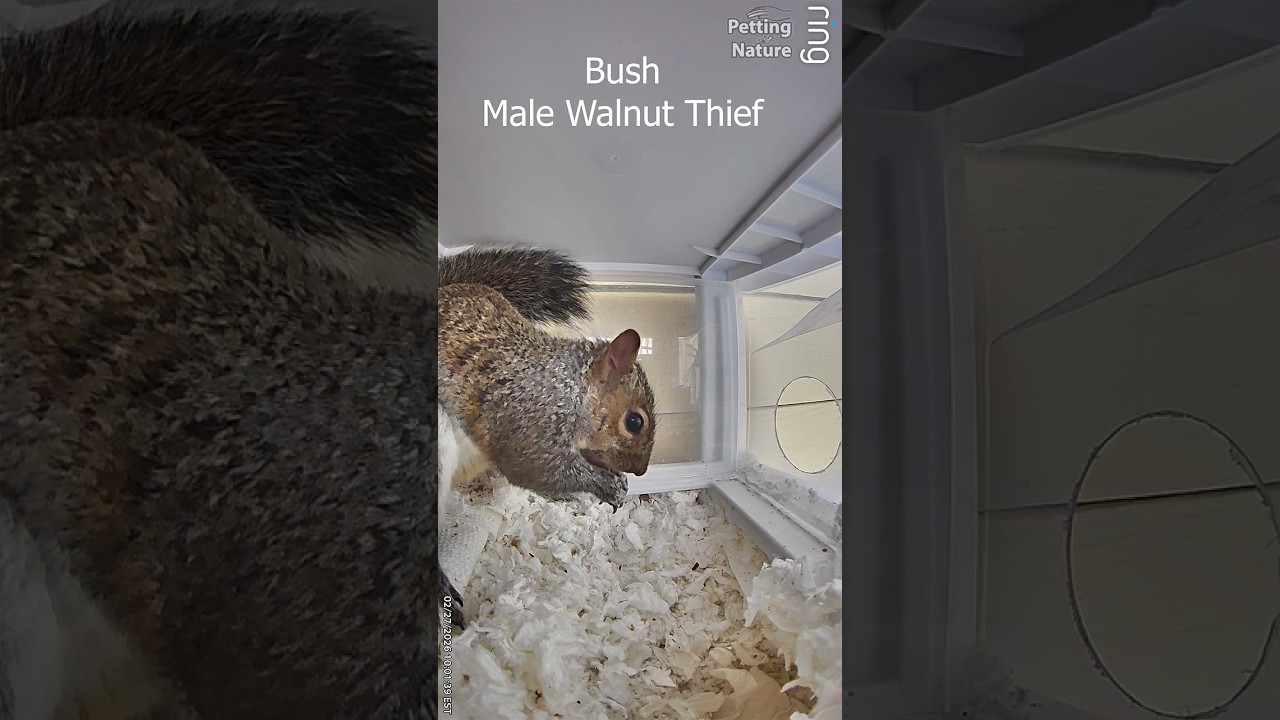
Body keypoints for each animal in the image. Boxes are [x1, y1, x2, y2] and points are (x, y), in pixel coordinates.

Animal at [436, 248, 659, 626]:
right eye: (634, 421)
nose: (642, 470)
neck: (567, 389)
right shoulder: (528, 425)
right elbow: (542, 471)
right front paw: (609, 486)